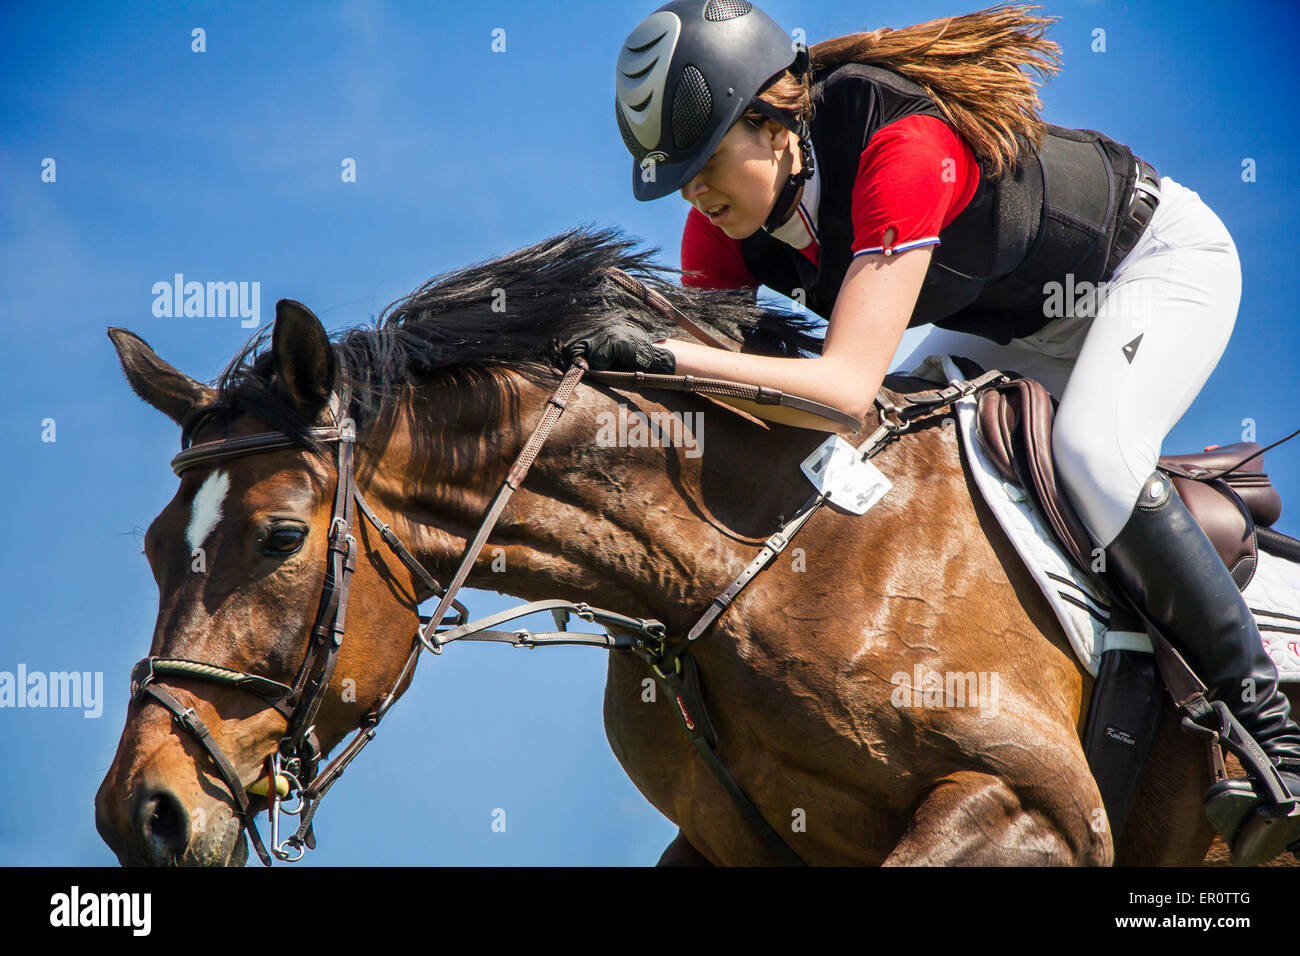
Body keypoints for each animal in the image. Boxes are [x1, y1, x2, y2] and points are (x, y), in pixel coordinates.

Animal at [94, 226, 1279, 868]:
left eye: (281, 535)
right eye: (151, 550)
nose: (139, 812)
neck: (733, 566)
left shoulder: (1040, 809)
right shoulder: (729, 841)